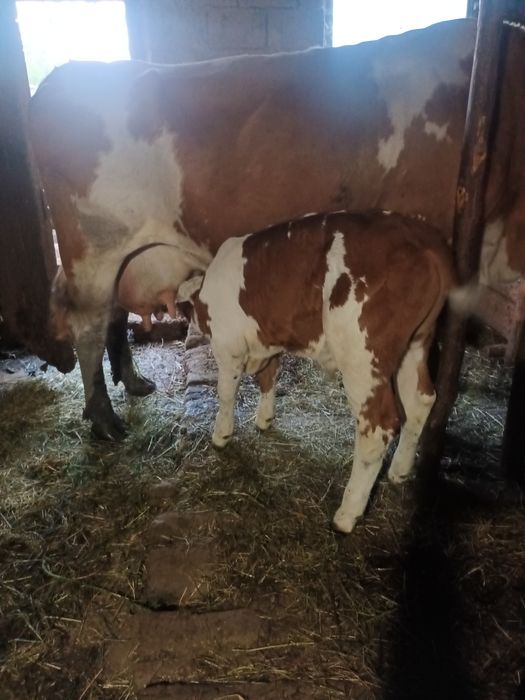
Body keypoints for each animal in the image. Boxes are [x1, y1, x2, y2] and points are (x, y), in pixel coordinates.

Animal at [28, 18, 525, 439]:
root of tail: (61, 77)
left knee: (112, 314)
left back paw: (133, 382)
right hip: (93, 248)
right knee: (89, 324)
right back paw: (104, 419)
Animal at [175, 210, 455, 532]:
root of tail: (422, 237)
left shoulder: (227, 346)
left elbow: (225, 393)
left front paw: (221, 436)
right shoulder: (268, 339)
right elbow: (268, 377)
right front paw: (264, 419)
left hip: (361, 356)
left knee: (378, 426)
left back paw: (346, 515)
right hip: (417, 343)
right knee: (421, 400)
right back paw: (400, 470)